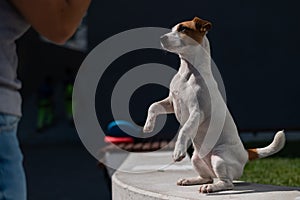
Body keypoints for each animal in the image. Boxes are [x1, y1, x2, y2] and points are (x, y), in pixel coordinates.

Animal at [144, 17, 284, 194]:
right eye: (173, 29)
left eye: (183, 29)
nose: (161, 38)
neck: (188, 73)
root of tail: (245, 153)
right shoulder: (171, 102)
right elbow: (153, 106)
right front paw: (148, 126)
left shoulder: (198, 112)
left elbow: (184, 129)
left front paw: (178, 151)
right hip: (197, 159)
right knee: (208, 176)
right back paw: (191, 180)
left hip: (219, 157)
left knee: (227, 183)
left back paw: (211, 187)